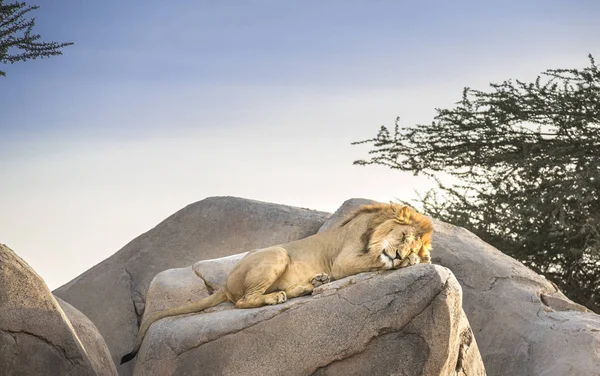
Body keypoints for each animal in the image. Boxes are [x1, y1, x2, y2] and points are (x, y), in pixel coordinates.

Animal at [120, 203, 432, 364]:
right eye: (404, 237)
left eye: (413, 246)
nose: (401, 254)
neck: (373, 228)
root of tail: (226, 282)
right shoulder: (343, 263)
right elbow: (374, 261)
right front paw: (406, 262)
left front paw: (417, 260)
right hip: (278, 253)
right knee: (245, 300)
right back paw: (279, 296)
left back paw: (311, 283)